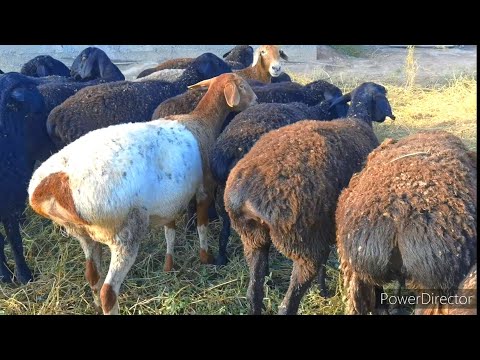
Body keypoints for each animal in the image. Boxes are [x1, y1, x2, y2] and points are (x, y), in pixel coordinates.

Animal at [223, 82, 396, 316]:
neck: (359, 120)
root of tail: (248, 198)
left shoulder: (325, 227)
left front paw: (323, 292)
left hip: (253, 239)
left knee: (254, 293)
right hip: (303, 247)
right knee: (287, 305)